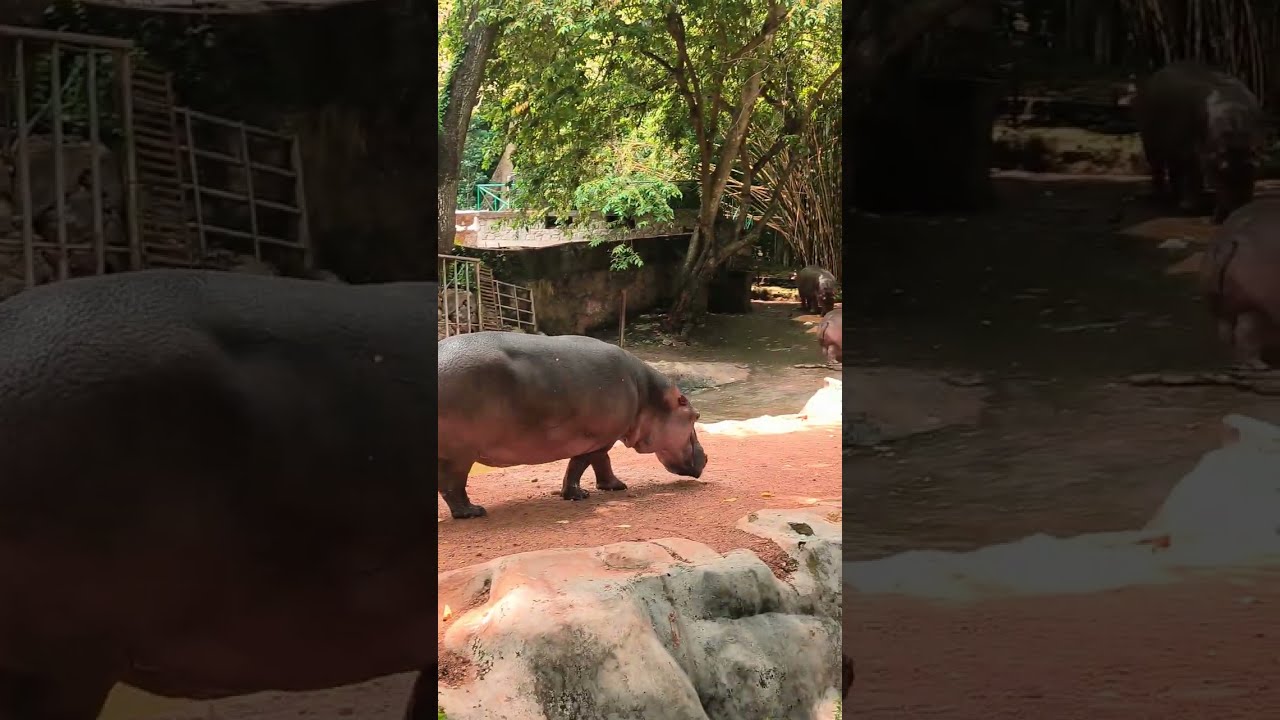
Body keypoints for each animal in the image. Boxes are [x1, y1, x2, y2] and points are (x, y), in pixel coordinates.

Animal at [438, 331, 707, 519]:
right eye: (696, 416)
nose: (706, 457)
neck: (649, 396)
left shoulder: (602, 438)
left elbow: (598, 464)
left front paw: (614, 487)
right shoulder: (599, 439)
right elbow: (581, 465)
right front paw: (583, 494)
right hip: (460, 455)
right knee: (452, 485)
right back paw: (473, 511)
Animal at [1134, 61, 1265, 223]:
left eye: (1252, 167)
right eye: (1222, 170)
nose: (1239, 207)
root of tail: (1157, 74)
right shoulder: (1202, 158)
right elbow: (1196, 179)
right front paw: (1194, 210)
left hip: (1174, 151)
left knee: (1174, 171)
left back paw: (1177, 198)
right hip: (1151, 144)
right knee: (1158, 169)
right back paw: (1165, 199)